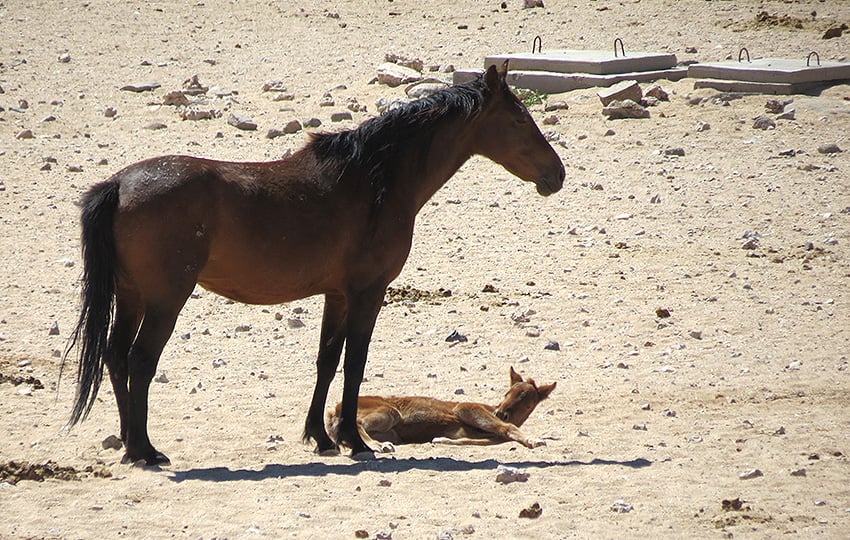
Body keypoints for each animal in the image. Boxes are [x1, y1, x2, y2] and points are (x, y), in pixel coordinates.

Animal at [326, 368, 556, 452]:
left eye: (528, 402)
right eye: (506, 393)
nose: (501, 412)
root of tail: (334, 409)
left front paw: (440, 440)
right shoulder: (466, 408)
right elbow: (507, 428)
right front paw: (535, 440)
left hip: (392, 432)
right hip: (389, 413)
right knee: (357, 423)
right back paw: (378, 446)